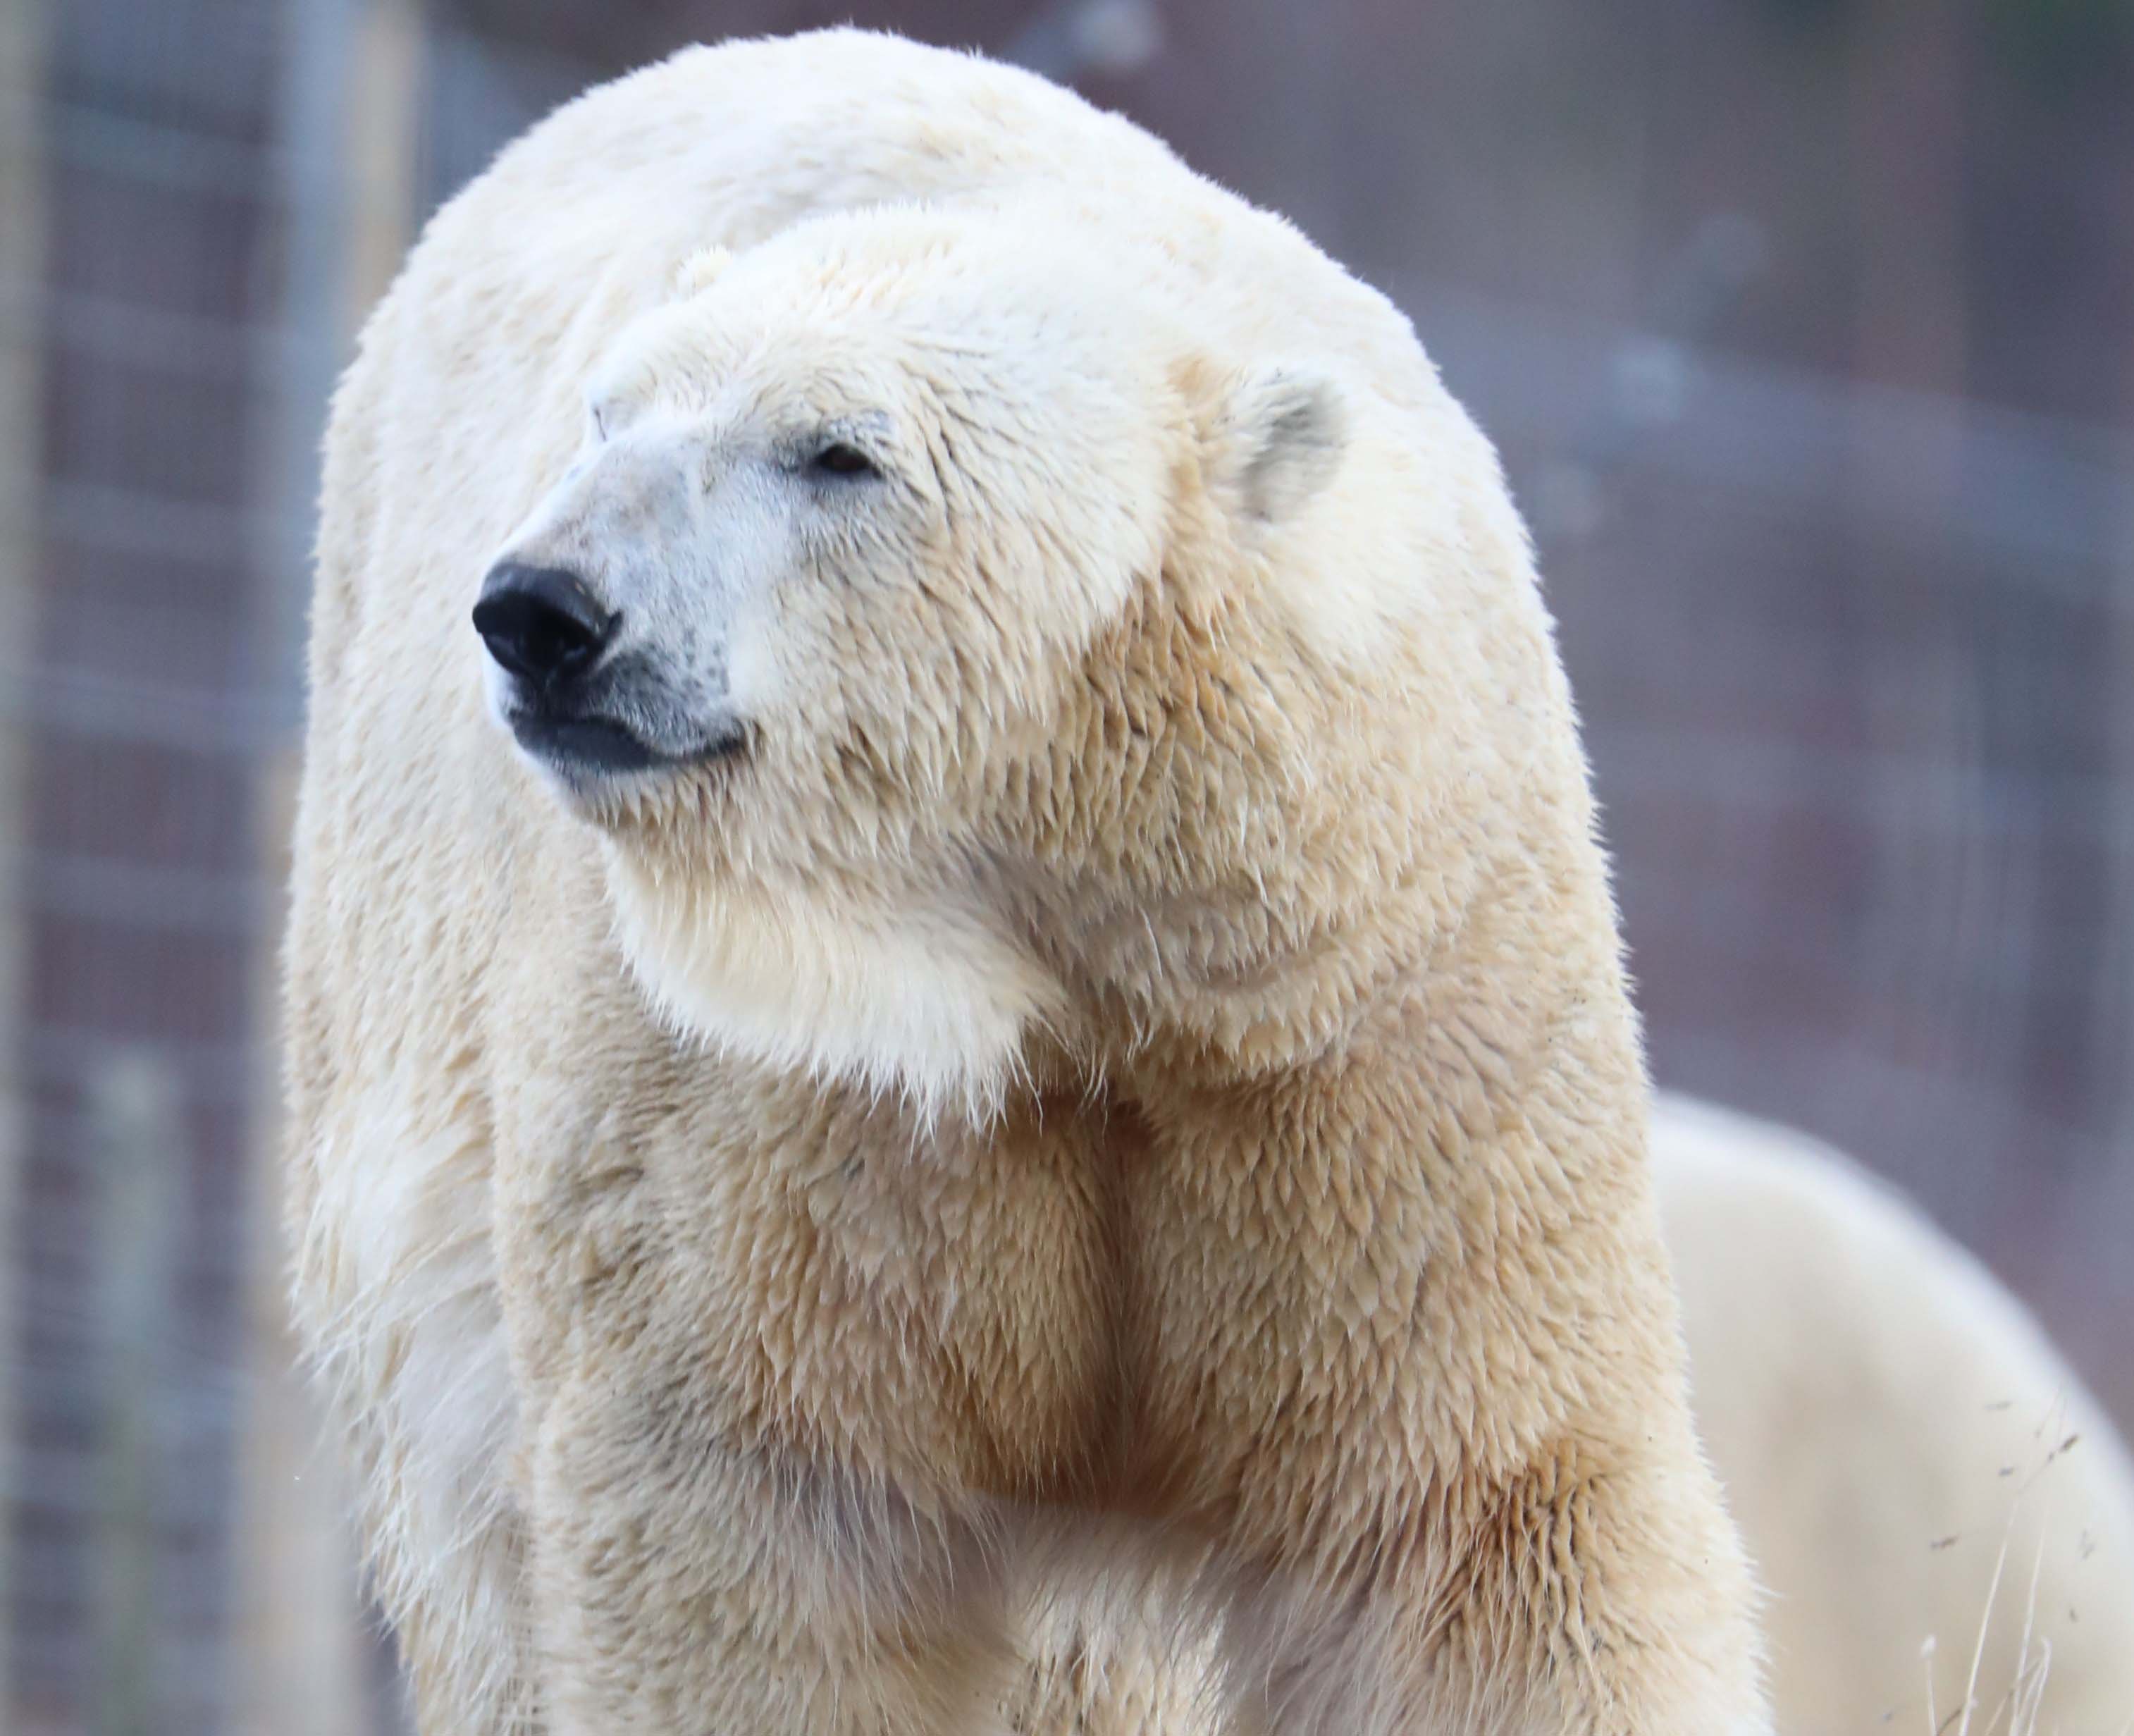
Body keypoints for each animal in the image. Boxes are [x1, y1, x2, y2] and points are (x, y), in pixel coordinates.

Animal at [283, 28, 1768, 1736]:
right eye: (609, 415)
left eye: (836, 450)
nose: (544, 609)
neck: (1064, 951)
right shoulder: (780, 1117)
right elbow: (757, 1516)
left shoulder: (1377, 1031)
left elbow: (1481, 1512)